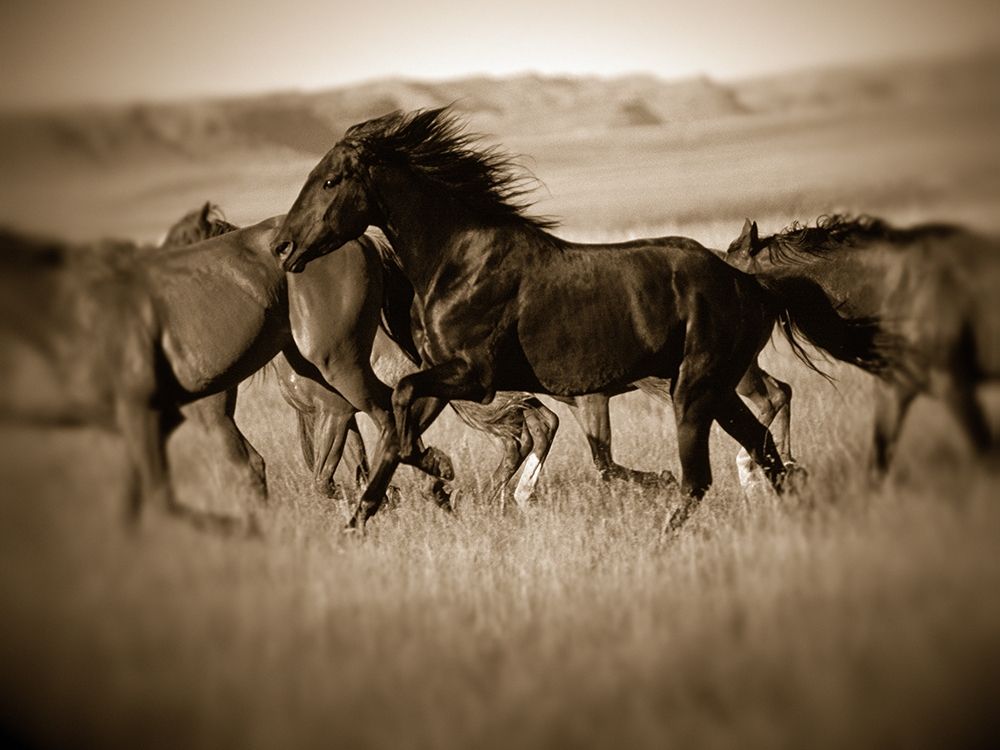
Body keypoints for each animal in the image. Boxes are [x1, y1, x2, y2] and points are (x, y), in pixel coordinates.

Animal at [273, 107, 904, 532]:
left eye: (330, 180)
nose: (283, 247)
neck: (459, 259)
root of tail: (751, 281)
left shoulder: (474, 377)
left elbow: (402, 404)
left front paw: (436, 475)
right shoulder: (447, 378)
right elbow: (395, 428)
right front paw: (369, 512)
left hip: (695, 389)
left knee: (709, 472)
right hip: (718, 389)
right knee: (766, 450)